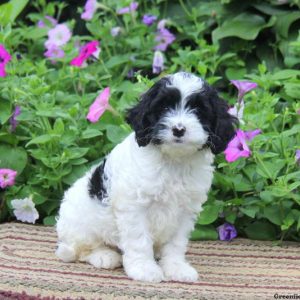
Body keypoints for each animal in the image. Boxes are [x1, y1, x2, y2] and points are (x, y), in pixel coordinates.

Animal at [55, 71, 236, 282]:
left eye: (199, 110)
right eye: (164, 107)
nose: (179, 129)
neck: (173, 161)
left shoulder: (185, 210)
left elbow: (176, 243)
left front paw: (176, 267)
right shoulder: (134, 207)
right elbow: (139, 240)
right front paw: (144, 269)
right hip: (80, 224)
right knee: (79, 249)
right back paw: (104, 256)